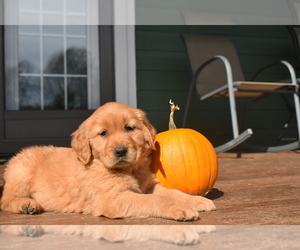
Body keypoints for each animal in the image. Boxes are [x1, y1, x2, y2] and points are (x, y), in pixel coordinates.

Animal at [0, 101, 216, 221]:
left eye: (129, 128)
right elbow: (155, 200)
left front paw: (197, 200)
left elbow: (174, 192)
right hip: (22, 170)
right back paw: (26, 205)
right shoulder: (114, 198)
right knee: (5, 198)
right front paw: (179, 208)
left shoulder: (148, 186)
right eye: (103, 133)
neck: (129, 169)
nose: (120, 151)